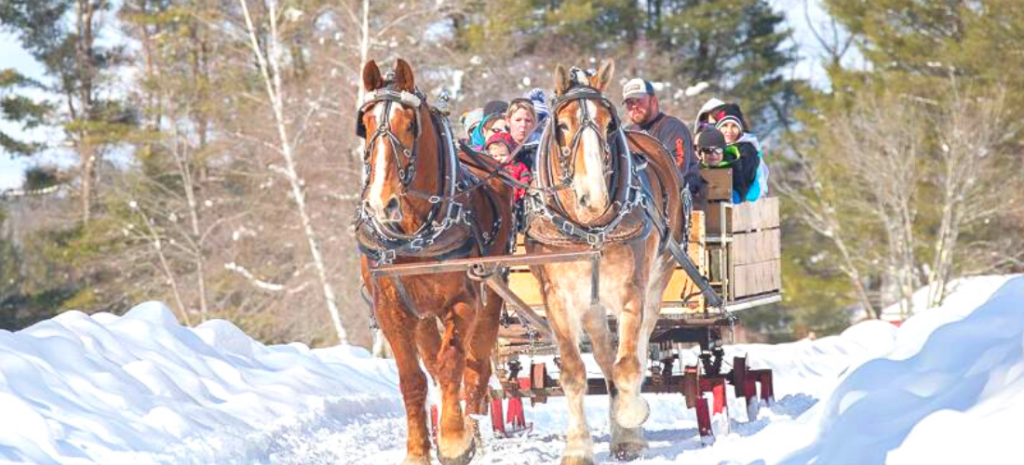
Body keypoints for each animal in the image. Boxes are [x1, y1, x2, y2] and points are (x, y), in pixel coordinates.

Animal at [355, 58, 514, 465]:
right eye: (365, 126)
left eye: (410, 125)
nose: (381, 204)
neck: (414, 232)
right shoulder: (391, 310)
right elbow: (413, 379)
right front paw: (417, 451)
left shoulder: (464, 301)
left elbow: (451, 364)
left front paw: (455, 439)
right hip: (422, 313)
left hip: (491, 297)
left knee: (476, 367)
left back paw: (471, 429)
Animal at [524, 60, 687, 464]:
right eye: (562, 126)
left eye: (610, 125)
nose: (594, 197)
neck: (589, 229)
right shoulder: (558, 298)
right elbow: (573, 372)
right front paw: (578, 448)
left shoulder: (631, 291)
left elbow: (628, 365)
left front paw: (631, 422)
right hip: (592, 303)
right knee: (603, 352)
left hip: (659, 276)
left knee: (638, 347)